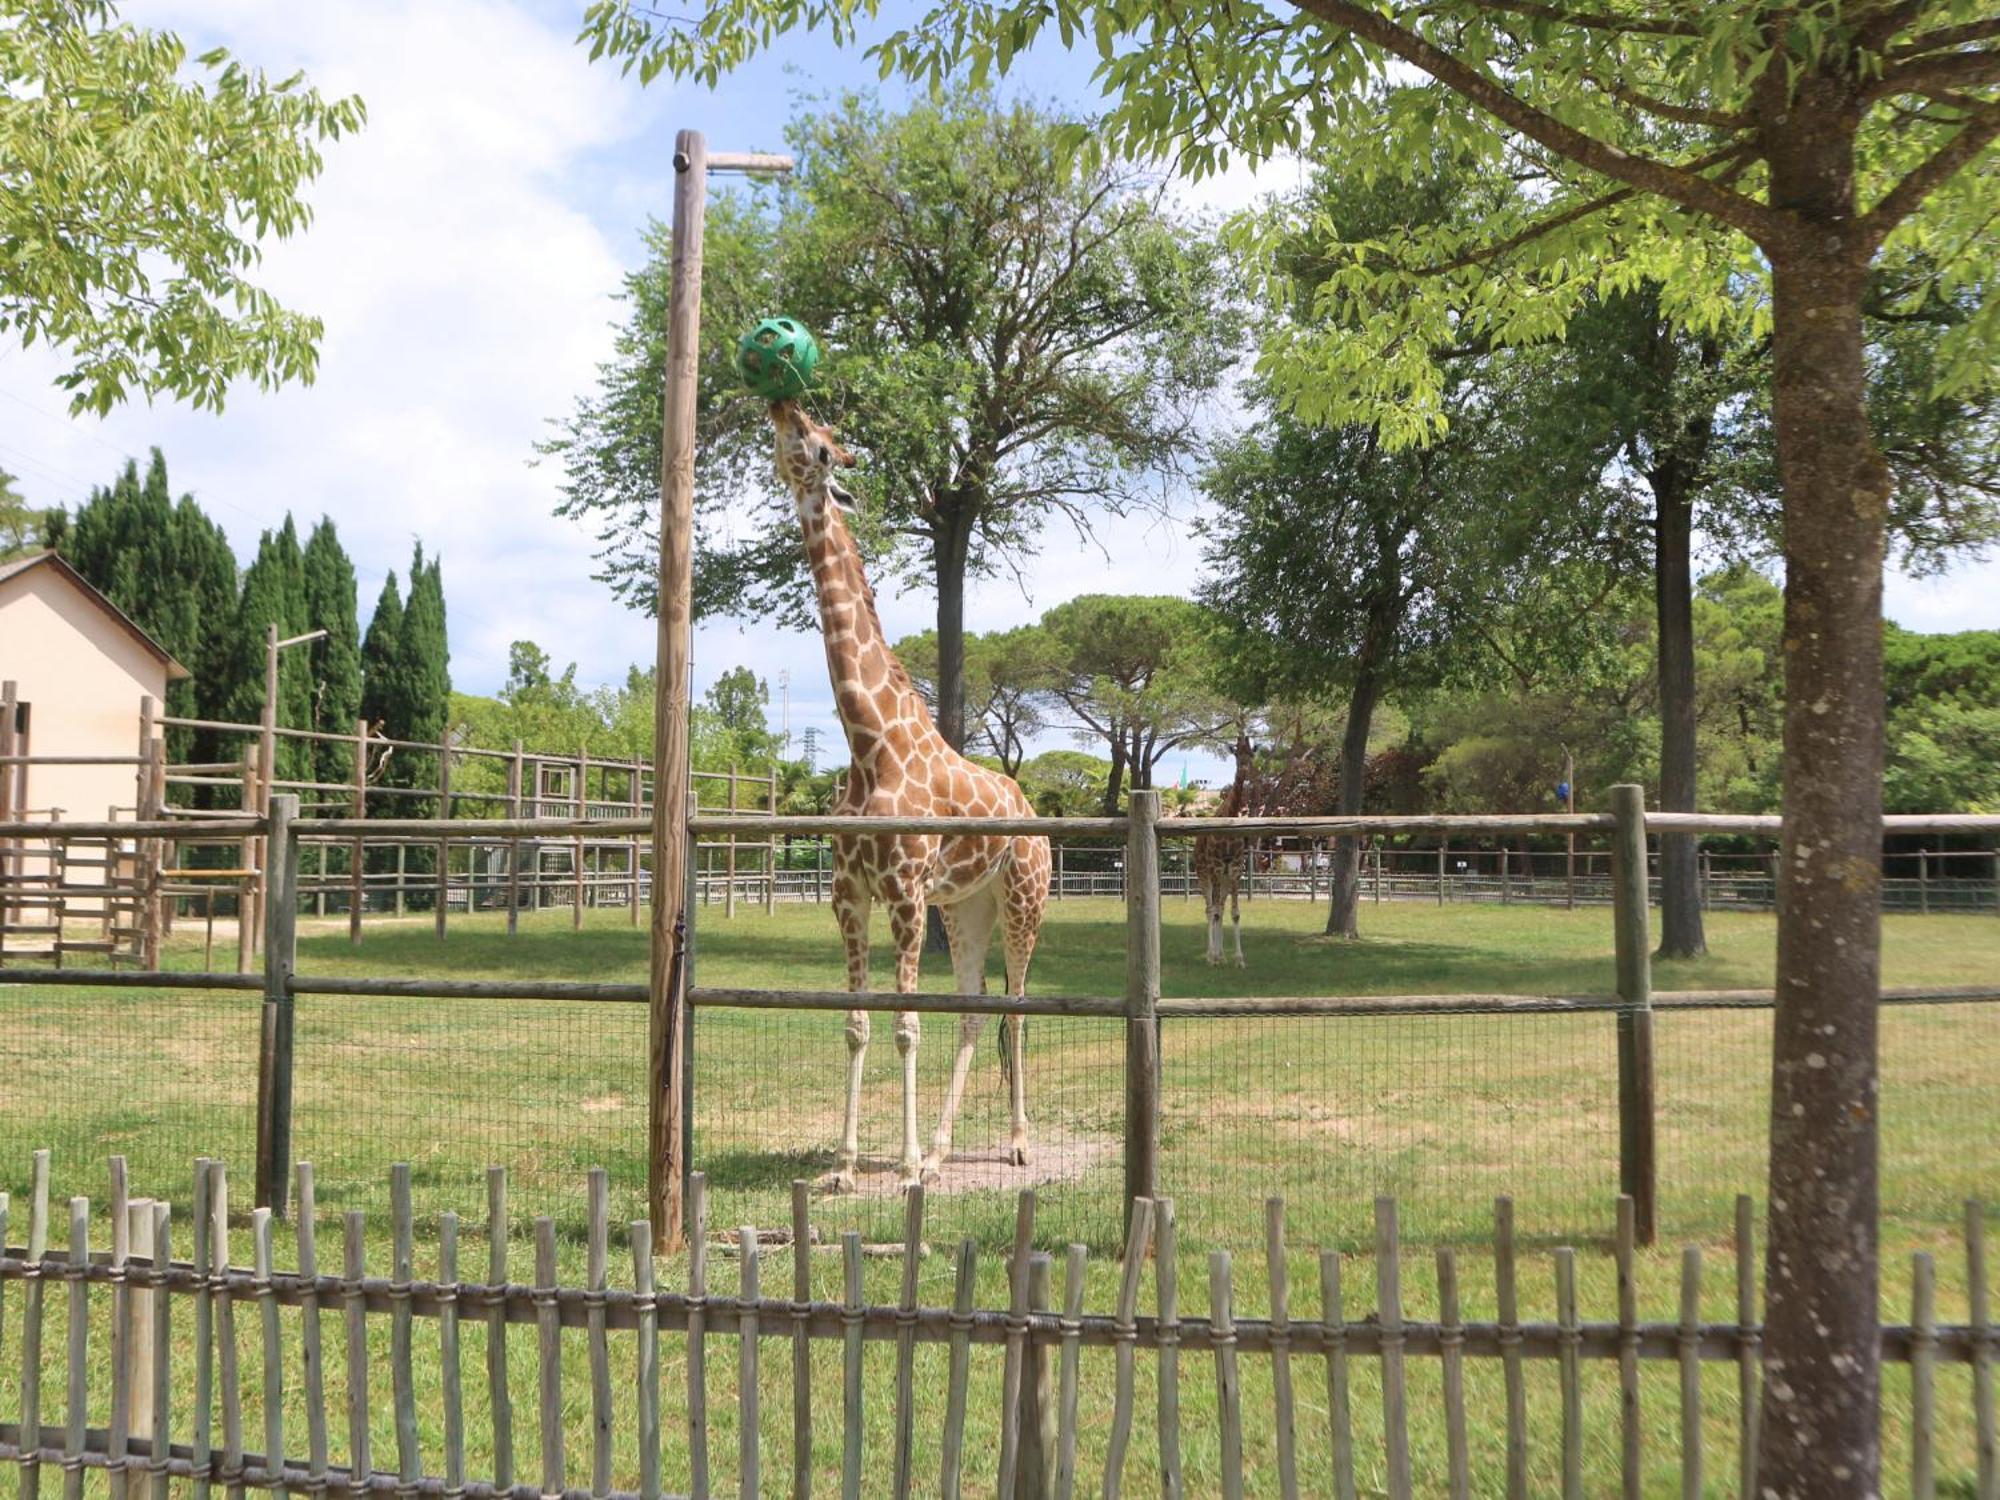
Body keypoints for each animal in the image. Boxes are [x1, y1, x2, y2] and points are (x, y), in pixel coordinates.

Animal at [764, 402, 1056, 1200]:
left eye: (821, 444)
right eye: (807, 429)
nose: (779, 404)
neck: (869, 742)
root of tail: (1035, 814)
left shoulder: (902, 892)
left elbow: (904, 1025)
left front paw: (898, 1165)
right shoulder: (848, 892)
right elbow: (859, 1024)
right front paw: (844, 1164)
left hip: (1024, 897)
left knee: (1016, 1006)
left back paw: (1016, 1144)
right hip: (966, 906)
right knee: (974, 1008)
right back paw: (944, 1149)